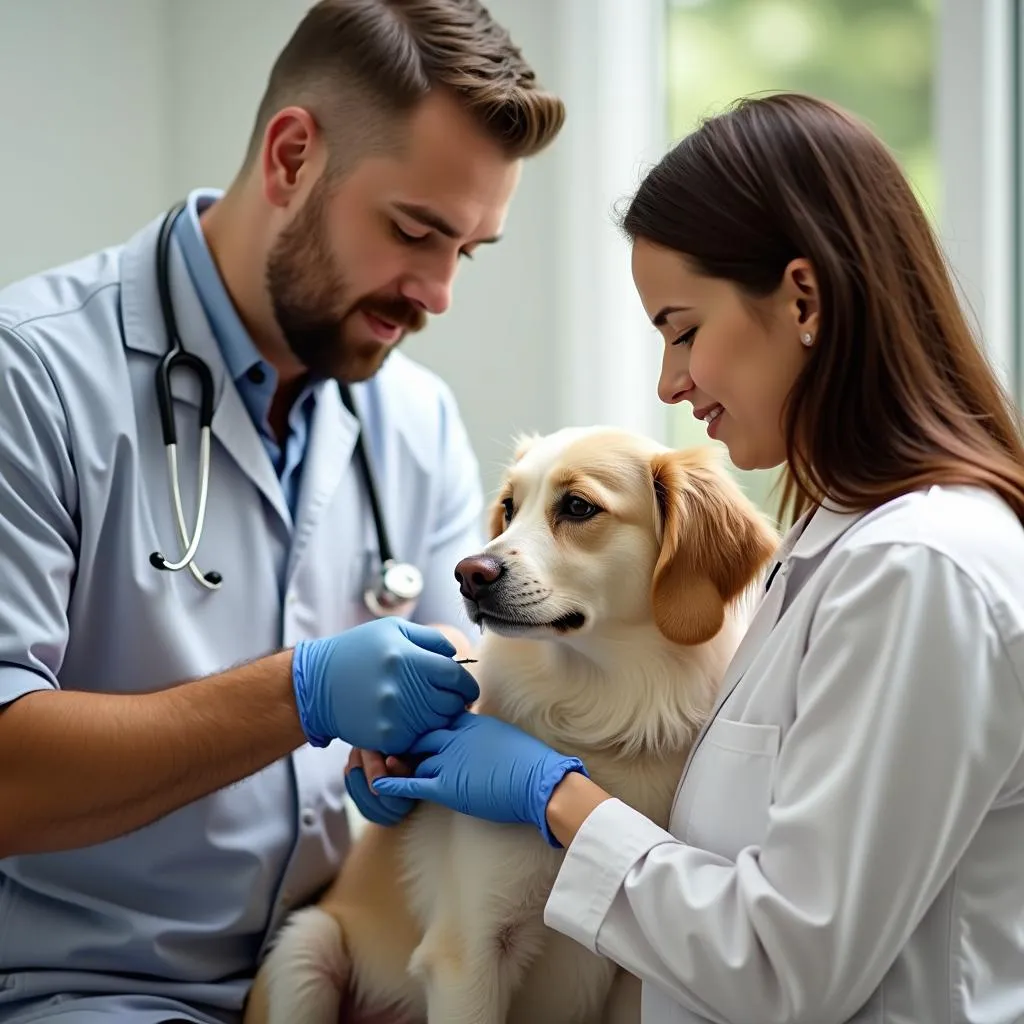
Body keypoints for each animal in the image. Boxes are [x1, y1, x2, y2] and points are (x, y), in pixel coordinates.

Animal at [245, 423, 774, 1024]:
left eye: (577, 506)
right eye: (508, 507)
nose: (467, 573)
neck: (605, 715)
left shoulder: (634, 980)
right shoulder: (468, 955)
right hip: (306, 946)